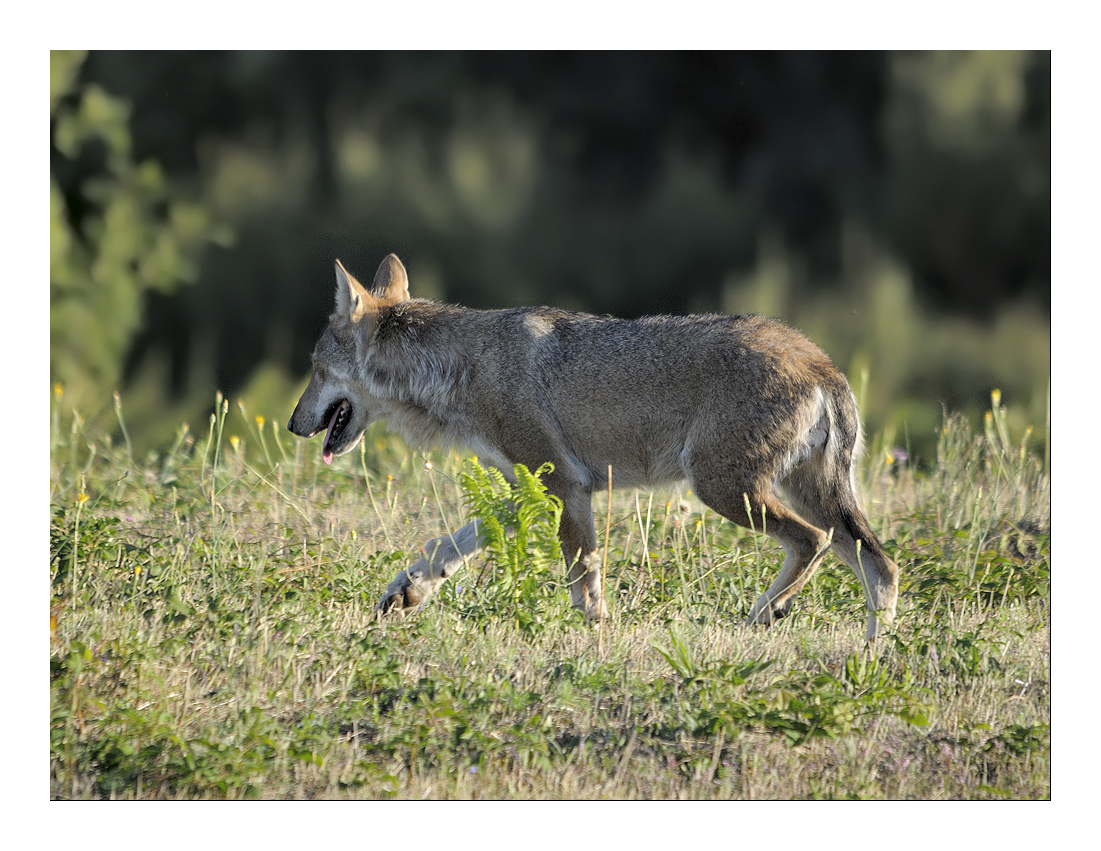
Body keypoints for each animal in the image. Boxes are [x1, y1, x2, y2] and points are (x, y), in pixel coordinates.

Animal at [288, 252, 898, 638]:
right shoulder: (531, 490)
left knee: (815, 541)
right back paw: (871, 655)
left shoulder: (566, 487)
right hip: (799, 494)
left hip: (727, 491)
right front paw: (407, 592)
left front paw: (595, 642)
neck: (462, 369)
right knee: (881, 568)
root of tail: (820, 361)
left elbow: (584, 584)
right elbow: (446, 546)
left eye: (314, 369)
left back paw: (762, 617)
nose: (294, 425)